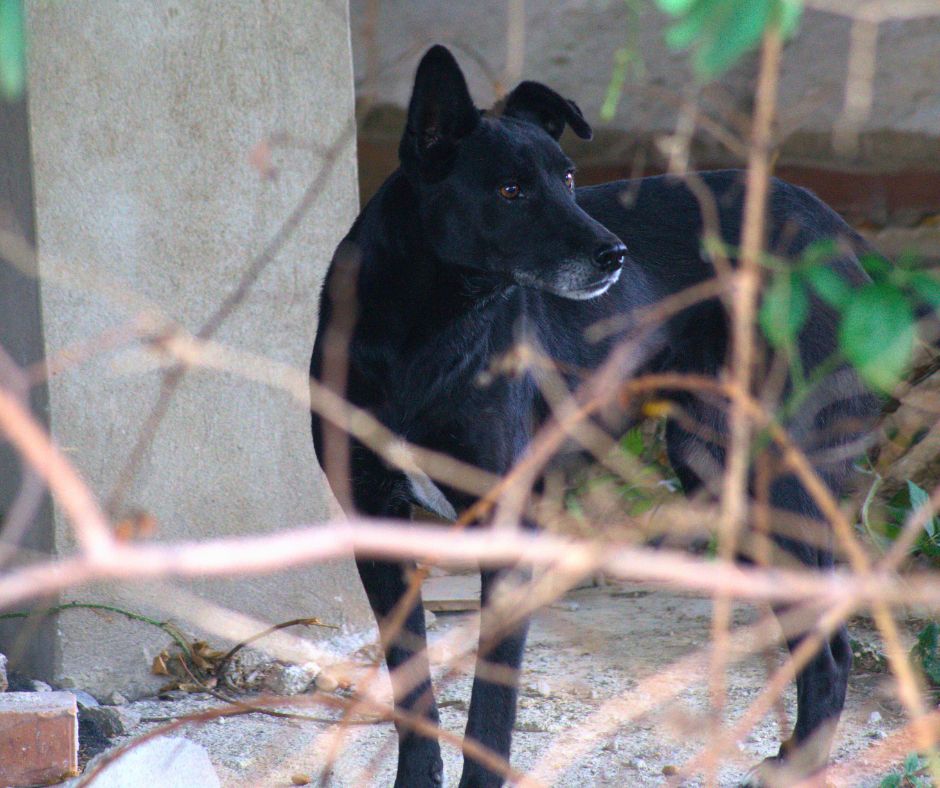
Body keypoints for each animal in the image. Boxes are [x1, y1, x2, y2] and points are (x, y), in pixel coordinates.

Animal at [312, 46, 876, 784]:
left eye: (570, 177)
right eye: (511, 191)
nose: (615, 255)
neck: (426, 332)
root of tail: (835, 227)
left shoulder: (506, 529)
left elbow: (491, 704)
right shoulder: (375, 522)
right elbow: (412, 688)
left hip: (780, 477)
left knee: (832, 644)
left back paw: (803, 761)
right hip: (717, 473)